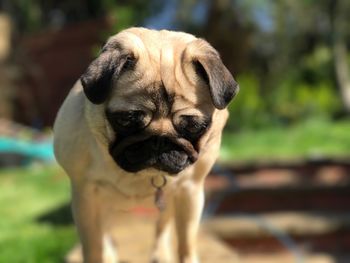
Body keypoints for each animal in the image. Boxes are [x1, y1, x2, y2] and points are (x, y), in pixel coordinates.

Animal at [53, 27, 239, 263]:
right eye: (127, 120)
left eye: (193, 126)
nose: (159, 140)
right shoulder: (86, 196)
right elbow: (94, 246)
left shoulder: (190, 192)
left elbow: (186, 242)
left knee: (163, 226)